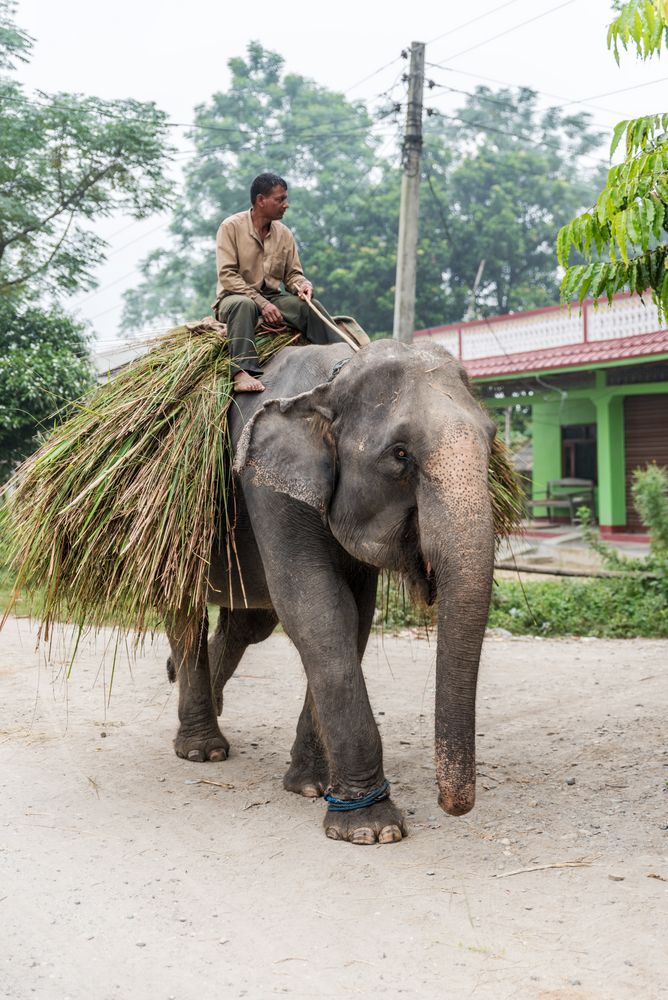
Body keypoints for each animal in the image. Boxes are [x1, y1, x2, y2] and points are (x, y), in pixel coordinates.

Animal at [164, 338, 498, 844]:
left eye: (492, 438)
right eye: (401, 454)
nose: (451, 807)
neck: (332, 379)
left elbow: (353, 615)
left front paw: (311, 785)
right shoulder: (268, 487)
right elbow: (317, 610)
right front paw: (371, 828)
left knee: (248, 624)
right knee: (183, 611)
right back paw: (203, 750)